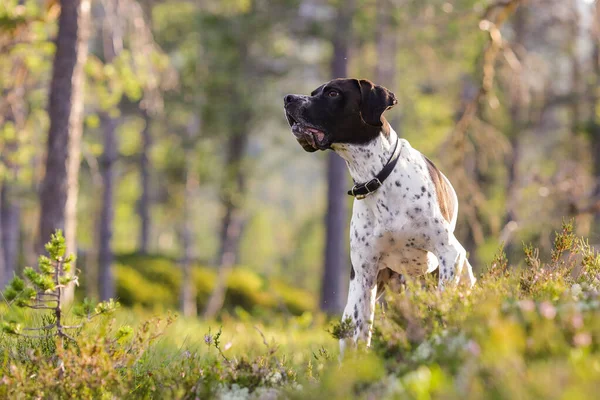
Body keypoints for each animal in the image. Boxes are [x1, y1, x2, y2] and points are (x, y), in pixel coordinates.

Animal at [284, 78, 476, 354]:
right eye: (313, 93)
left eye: (333, 93)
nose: (288, 98)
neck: (376, 177)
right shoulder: (364, 275)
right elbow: (360, 334)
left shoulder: (449, 253)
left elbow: (441, 305)